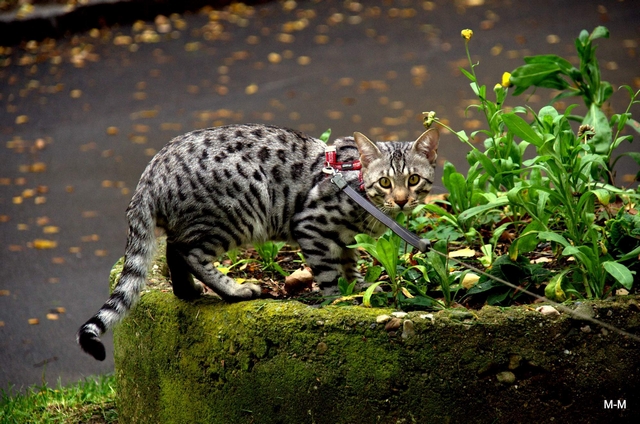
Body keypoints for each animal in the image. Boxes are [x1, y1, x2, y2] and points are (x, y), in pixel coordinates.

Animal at [74, 124, 436, 360]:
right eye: (386, 182)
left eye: (413, 180)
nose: (401, 200)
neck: (356, 180)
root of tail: (149, 175)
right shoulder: (313, 227)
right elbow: (330, 277)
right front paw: (339, 303)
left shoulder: (345, 240)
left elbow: (350, 265)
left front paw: (361, 289)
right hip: (238, 215)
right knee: (190, 253)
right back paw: (235, 291)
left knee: (174, 249)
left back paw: (187, 291)